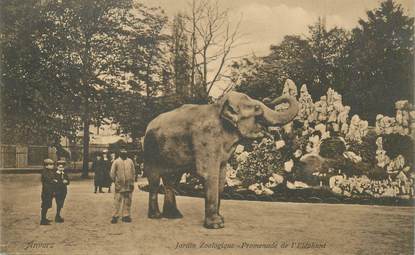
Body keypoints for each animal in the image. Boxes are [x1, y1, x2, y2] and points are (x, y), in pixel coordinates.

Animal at [144, 90, 300, 229]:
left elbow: (221, 175)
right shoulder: (206, 139)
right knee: (154, 180)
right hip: (150, 151)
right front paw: (216, 225)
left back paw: (174, 216)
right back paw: (156, 216)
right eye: (257, 108)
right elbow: (209, 174)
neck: (218, 107)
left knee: (171, 180)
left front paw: (220, 219)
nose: (270, 99)